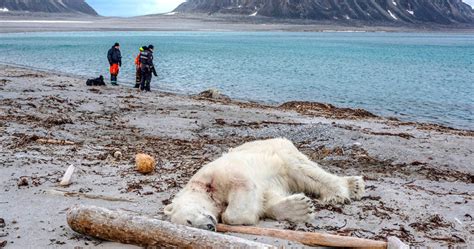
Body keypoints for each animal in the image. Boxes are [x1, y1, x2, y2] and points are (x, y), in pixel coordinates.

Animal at [165, 137, 364, 231]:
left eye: (189, 220)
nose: (209, 226)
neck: (204, 188)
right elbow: (268, 199)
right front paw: (300, 207)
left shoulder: (220, 173)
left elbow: (240, 194)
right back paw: (354, 185)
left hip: (280, 152)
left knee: (304, 170)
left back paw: (341, 191)